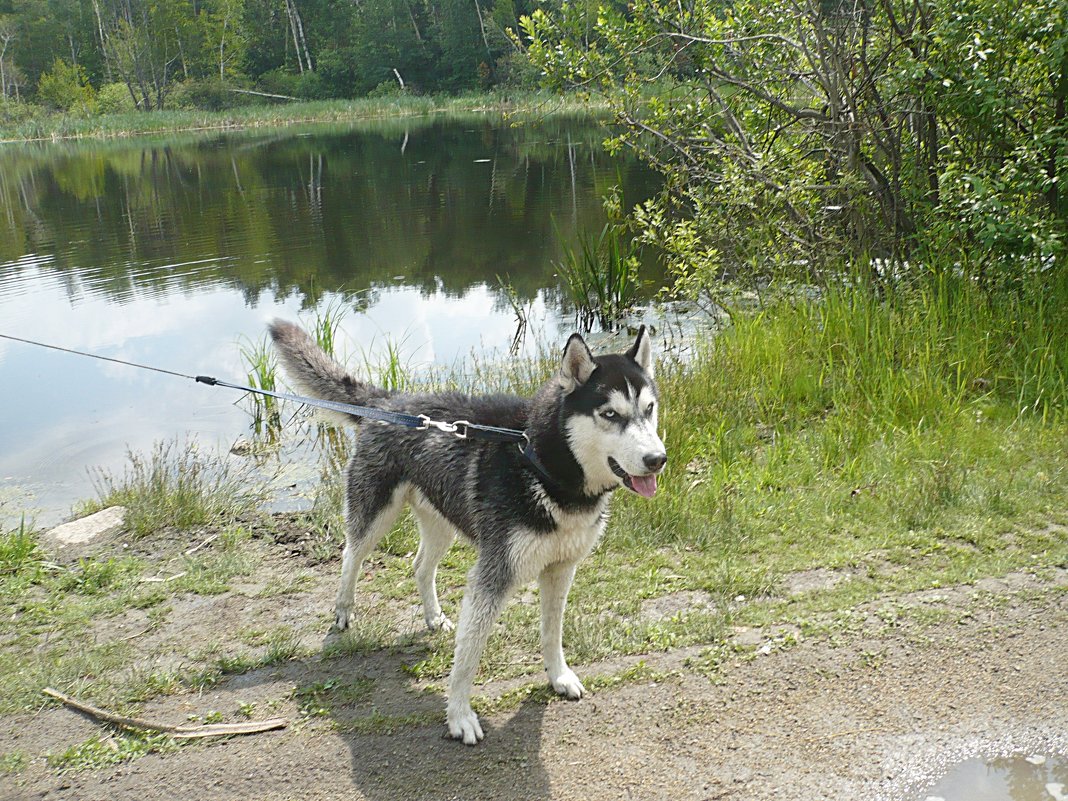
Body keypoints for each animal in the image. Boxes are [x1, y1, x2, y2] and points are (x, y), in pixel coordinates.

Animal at [271, 322, 662, 751]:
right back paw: (343, 610)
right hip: (374, 516)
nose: (657, 459)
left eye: (649, 409)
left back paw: (433, 616)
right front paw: (459, 716)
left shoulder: (561, 570)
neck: (542, 464)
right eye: (610, 414)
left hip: (442, 523)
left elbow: (551, 632)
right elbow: (468, 658)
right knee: (351, 557)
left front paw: (558, 676)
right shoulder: (492, 577)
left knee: (420, 566)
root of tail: (390, 400)